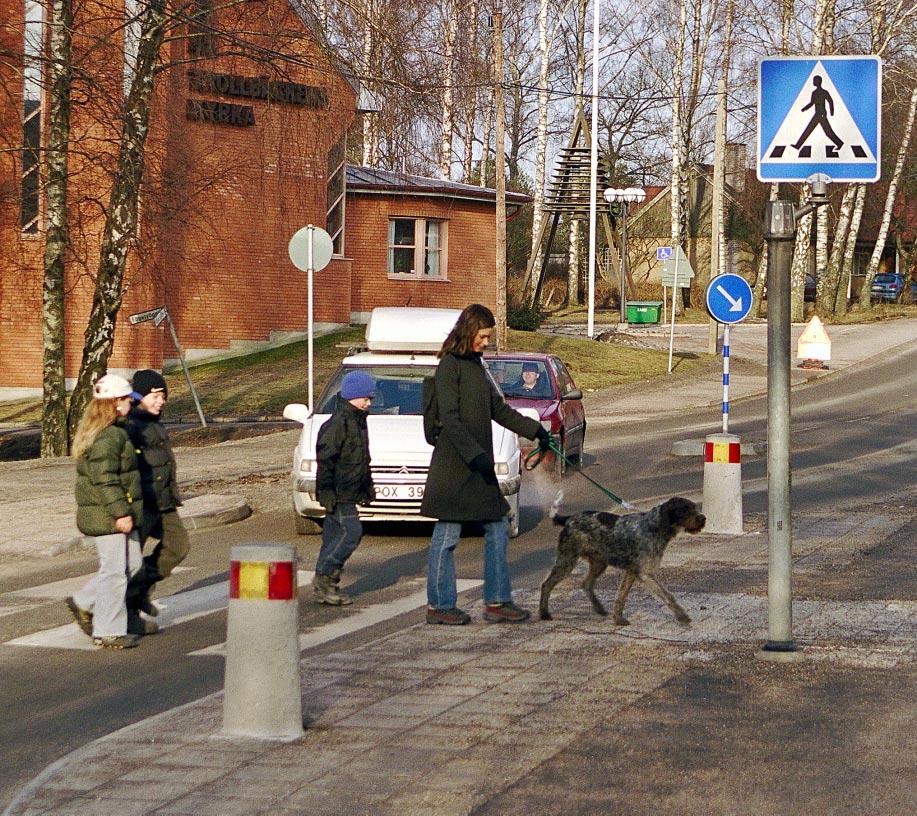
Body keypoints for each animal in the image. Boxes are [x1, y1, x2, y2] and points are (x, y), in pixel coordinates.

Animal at [536, 494, 708, 628]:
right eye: (684, 510)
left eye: (694, 507)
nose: (703, 518)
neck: (654, 526)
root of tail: (569, 519)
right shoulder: (645, 574)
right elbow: (667, 596)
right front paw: (682, 616)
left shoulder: (632, 572)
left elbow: (621, 596)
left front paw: (617, 618)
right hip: (567, 561)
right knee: (546, 585)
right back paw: (544, 613)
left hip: (599, 563)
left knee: (586, 584)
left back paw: (599, 608)